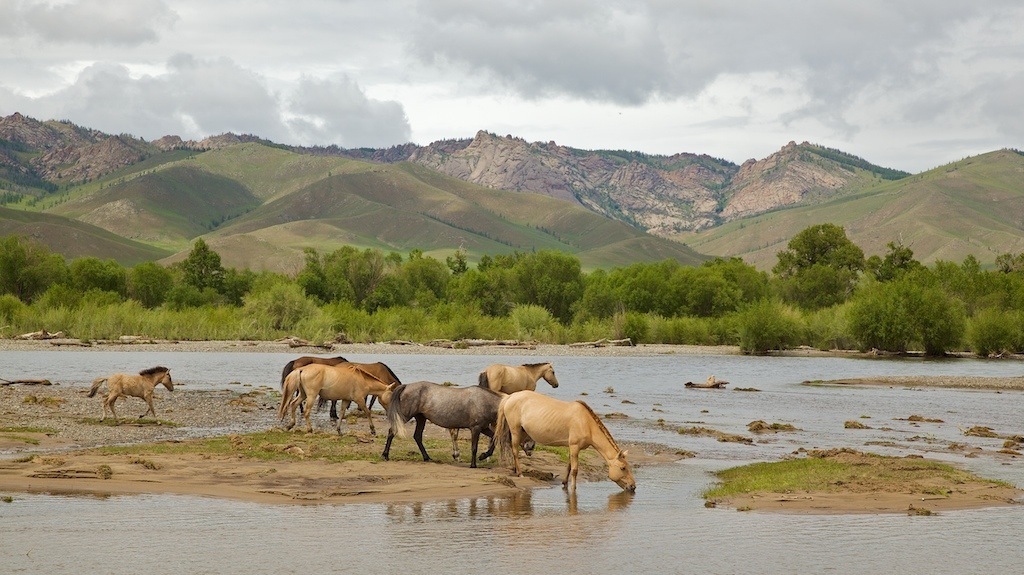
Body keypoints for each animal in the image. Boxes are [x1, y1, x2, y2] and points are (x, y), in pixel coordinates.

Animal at [493, 388, 630, 493]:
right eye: (623, 468)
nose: (632, 487)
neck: (586, 423)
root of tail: (510, 396)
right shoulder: (574, 446)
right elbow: (575, 470)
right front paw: (573, 488)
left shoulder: (572, 447)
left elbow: (569, 466)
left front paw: (564, 483)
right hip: (516, 431)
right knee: (515, 451)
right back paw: (520, 473)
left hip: (522, 432)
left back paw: (515, 470)